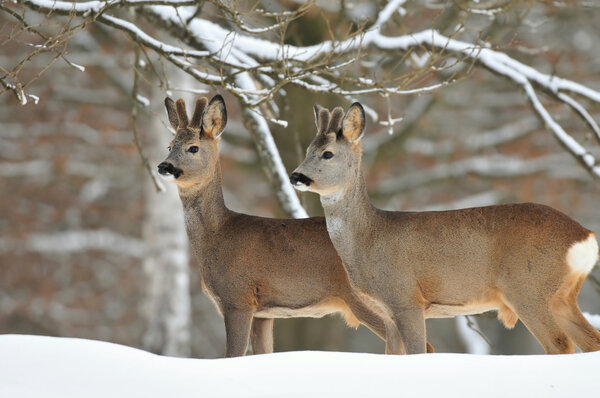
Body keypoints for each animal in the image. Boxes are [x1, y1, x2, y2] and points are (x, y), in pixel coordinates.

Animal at [290, 102, 600, 354]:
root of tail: (586, 237)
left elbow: (418, 352)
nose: (295, 176)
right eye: (306, 150)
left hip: (528, 288)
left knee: (560, 344)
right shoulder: (387, 311)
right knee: (590, 341)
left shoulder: (406, 299)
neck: (368, 239)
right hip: (561, 294)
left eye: (327, 154)